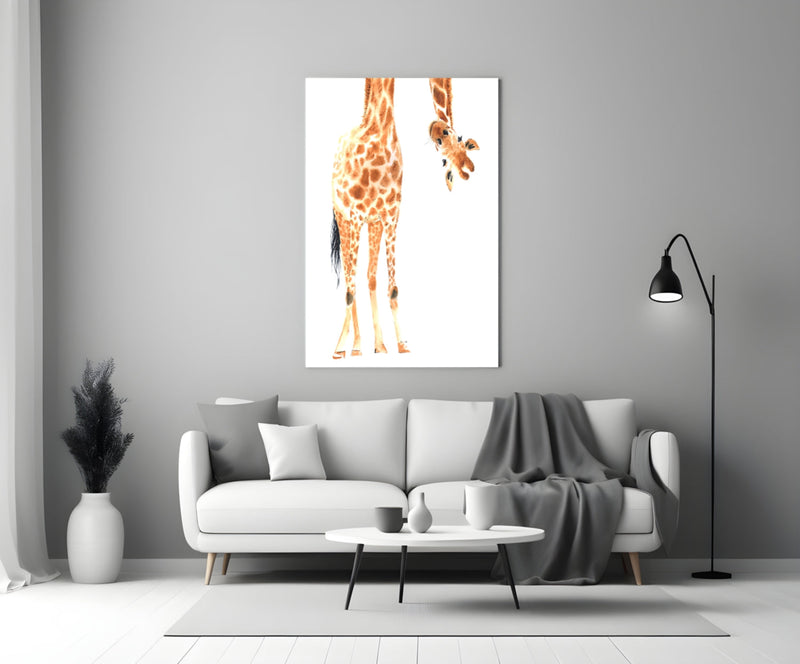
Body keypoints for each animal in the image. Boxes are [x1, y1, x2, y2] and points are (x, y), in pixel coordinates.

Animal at [330, 78, 409, 359]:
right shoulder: (355, 217)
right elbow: (350, 290)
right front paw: (346, 348)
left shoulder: (390, 216)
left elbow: (392, 287)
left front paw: (401, 344)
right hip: (344, 221)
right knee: (349, 277)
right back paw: (349, 346)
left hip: (371, 224)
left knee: (368, 275)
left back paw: (378, 344)